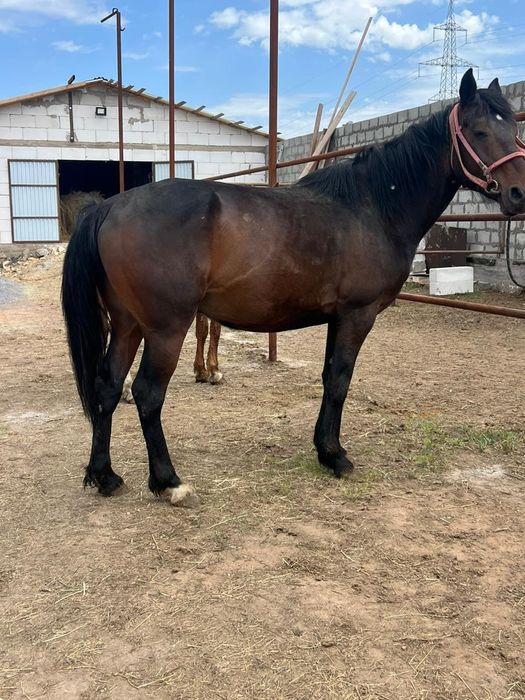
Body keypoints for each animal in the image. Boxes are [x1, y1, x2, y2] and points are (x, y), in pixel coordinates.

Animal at [62, 70, 525, 506]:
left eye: (514, 129)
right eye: (479, 131)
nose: (519, 193)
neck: (373, 207)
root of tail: (110, 206)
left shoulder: (338, 318)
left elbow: (328, 376)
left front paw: (324, 449)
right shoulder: (358, 315)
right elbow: (339, 381)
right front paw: (335, 456)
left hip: (127, 325)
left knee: (107, 387)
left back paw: (105, 476)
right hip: (164, 330)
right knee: (146, 394)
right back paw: (168, 482)